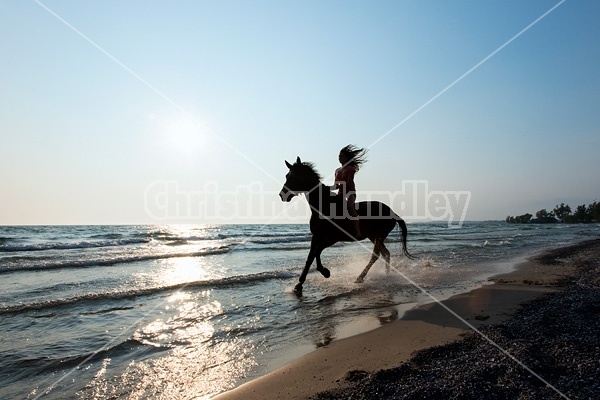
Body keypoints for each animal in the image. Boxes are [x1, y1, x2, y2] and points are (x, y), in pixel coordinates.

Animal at [280, 156, 412, 294]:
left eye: (295, 177)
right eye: (287, 176)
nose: (282, 195)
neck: (324, 206)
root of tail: (392, 212)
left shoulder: (332, 237)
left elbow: (317, 251)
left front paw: (325, 272)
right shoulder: (316, 236)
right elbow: (310, 256)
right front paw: (299, 284)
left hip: (379, 236)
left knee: (375, 255)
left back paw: (360, 277)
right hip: (374, 237)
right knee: (386, 254)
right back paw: (387, 275)